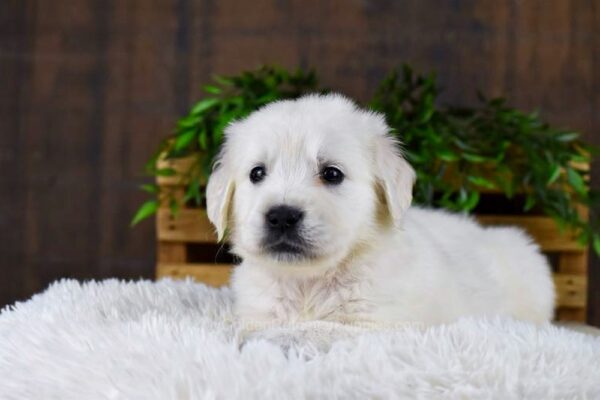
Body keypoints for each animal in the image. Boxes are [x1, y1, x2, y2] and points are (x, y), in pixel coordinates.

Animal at [209, 94, 556, 328]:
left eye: (332, 174)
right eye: (257, 173)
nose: (282, 215)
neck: (308, 283)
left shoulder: (377, 324)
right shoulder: (259, 314)